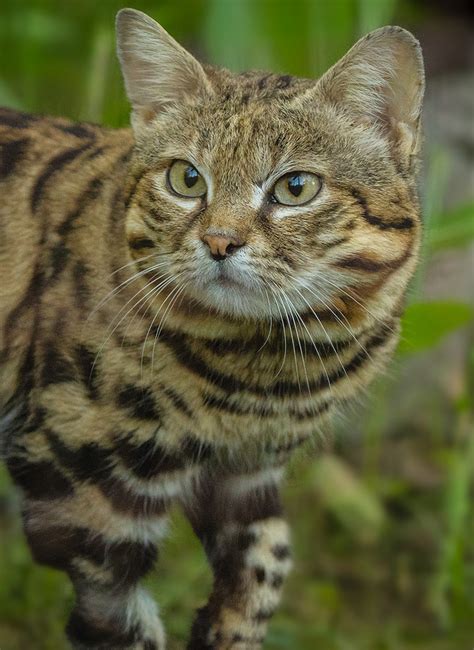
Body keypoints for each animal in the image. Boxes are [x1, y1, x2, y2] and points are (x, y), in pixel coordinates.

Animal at [0, 6, 424, 648]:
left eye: (295, 187)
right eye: (187, 179)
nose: (220, 241)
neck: (262, 375)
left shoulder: (249, 474)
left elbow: (270, 560)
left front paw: (228, 627)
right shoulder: (85, 499)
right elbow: (123, 624)